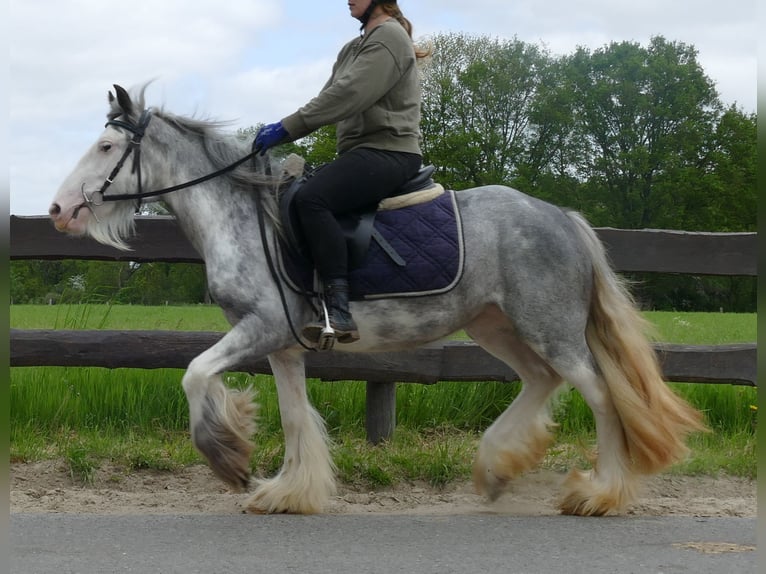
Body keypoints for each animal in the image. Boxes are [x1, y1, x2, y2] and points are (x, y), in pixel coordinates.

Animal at [48, 84, 708, 516]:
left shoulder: (261, 328)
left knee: (600, 393)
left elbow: (192, 373)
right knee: (541, 381)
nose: (58, 210)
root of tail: (562, 217)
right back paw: (497, 467)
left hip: (551, 327)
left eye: (106, 148)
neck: (244, 218)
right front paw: (289, 492)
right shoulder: (284, 345)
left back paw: (600, 493)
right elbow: (294, 415)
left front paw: (230, 459)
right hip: (496, 325)